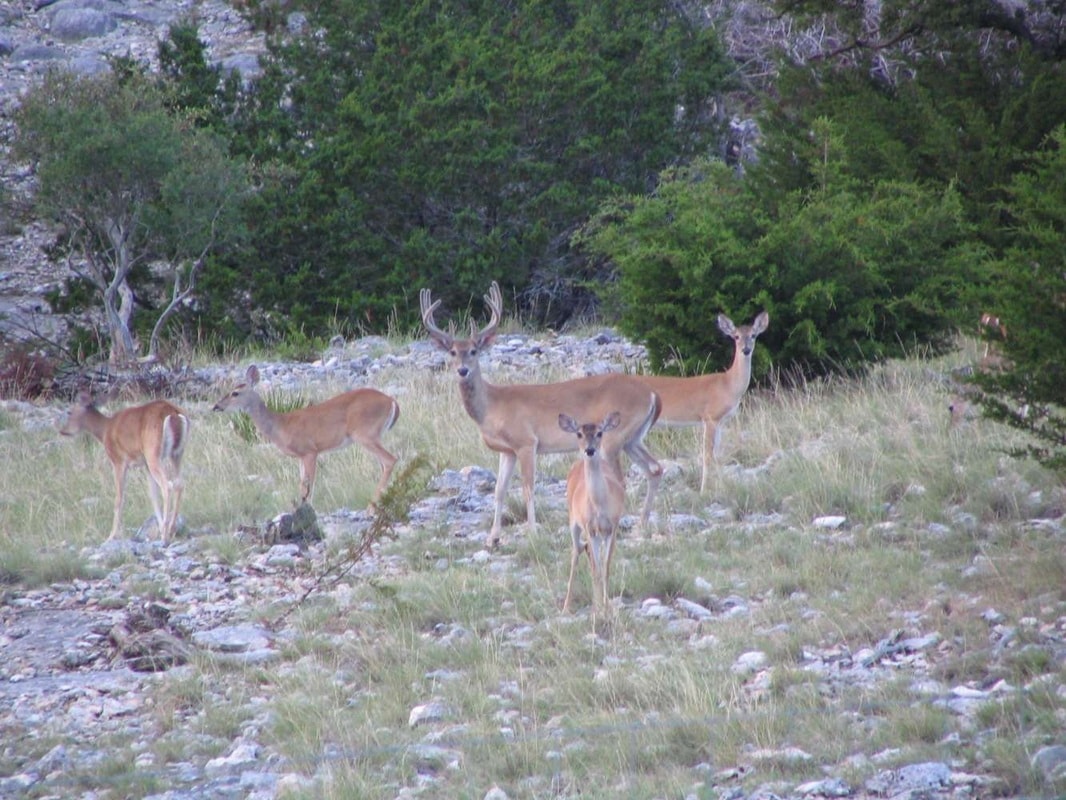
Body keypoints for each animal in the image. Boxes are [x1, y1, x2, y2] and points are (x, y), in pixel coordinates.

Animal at [59, 391, 189, 543]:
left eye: (69, 411)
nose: (63, 431)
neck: (105, 431)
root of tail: (174, 414)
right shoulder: (145, 464)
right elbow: (152, 494)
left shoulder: (118, 461)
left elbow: (119, 498)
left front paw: (111, 535)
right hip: (176, 453)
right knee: (179, 483)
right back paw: (171, 529)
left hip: (153, 451)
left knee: (167, 485)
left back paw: (166, 535)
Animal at [212, 365, 400, 509]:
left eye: (235, 393)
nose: (216, 406)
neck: (280, 426)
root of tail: (391, 401)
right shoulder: (300, 457)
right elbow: (302, 484)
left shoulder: (310, 450)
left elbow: (308, 485)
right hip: (374, 436)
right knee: (384, 464)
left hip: (365, 434)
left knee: (390, 460)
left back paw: (371, 507)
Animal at [420, 281, 663, 548]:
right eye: (452, 352)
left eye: (474, 351)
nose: (463, 370)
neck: (492, 406)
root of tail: (652, 394)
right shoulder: (507, 450)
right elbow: (499, 490)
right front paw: (493, 537)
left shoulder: (526, 442)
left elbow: (528, 487)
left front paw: (533, 532)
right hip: (632, 437)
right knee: (655, 469)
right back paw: (641, 523)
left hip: (612, 437)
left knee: (622, 479)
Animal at [559, 412, 625, 613]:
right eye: (579, 433)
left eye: (600, 432)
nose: (589, 450)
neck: (600, 505)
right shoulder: (590, 527)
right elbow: (597, 569)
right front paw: (598, 608)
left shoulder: (613, 525)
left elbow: (605, 567)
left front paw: (606, 605)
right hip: (573, 521)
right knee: (576, 553)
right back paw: (566, 606)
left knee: (587, 551)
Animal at [639, 311, 769, 492]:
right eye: (736, 336)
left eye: (753, 335)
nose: (746, 349)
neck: (728, 385)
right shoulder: (710, 416)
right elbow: (707, 455)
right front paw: (704, 490)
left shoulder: (721, 421)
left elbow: (717, 455)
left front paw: (721, 485)